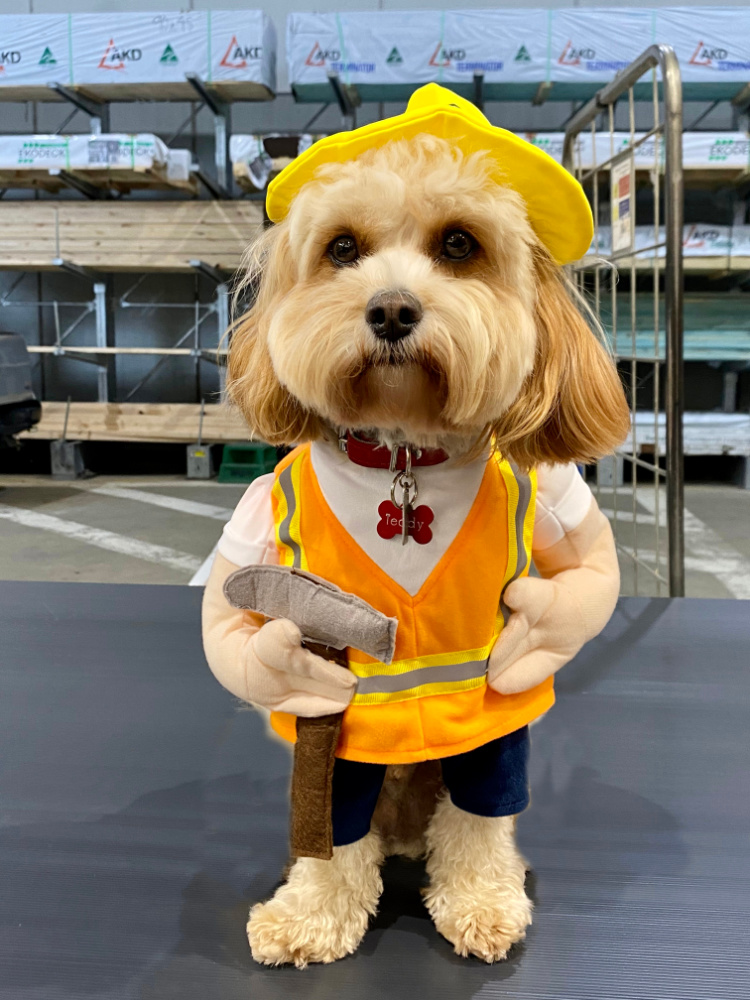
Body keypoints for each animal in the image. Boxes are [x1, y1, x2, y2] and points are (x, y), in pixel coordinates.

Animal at [203, 92, 632, 968]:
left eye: (459, 244)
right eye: (342, 248)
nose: (393, 308)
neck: (404, 452)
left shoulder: (494, 733)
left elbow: (588, 582)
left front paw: (480, 902)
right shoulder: (329, 740)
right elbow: (233, 641)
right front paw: (311, 916)